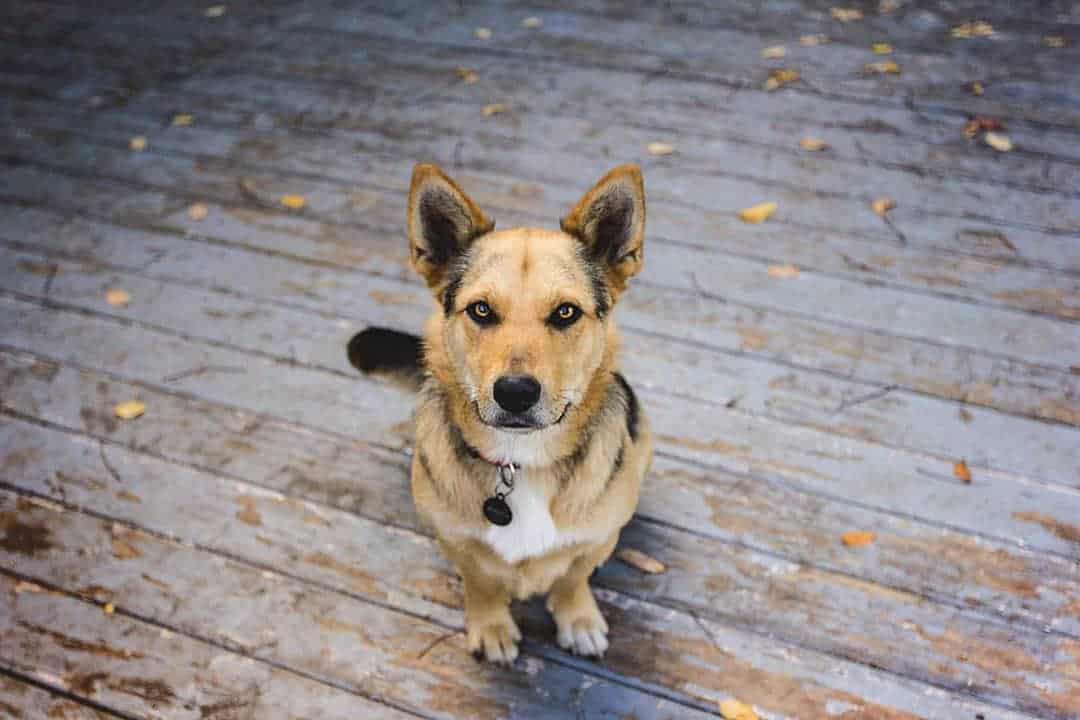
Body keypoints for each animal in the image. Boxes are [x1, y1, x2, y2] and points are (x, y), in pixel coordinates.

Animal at [347, 162, 648, 664]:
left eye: (566, 313)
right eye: (482, 310)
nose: (515, 393)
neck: (518, 461)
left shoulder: (598, 538)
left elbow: (573, 576)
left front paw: (578, 618)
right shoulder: (455, 539)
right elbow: (481, 581)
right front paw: (491, 627)